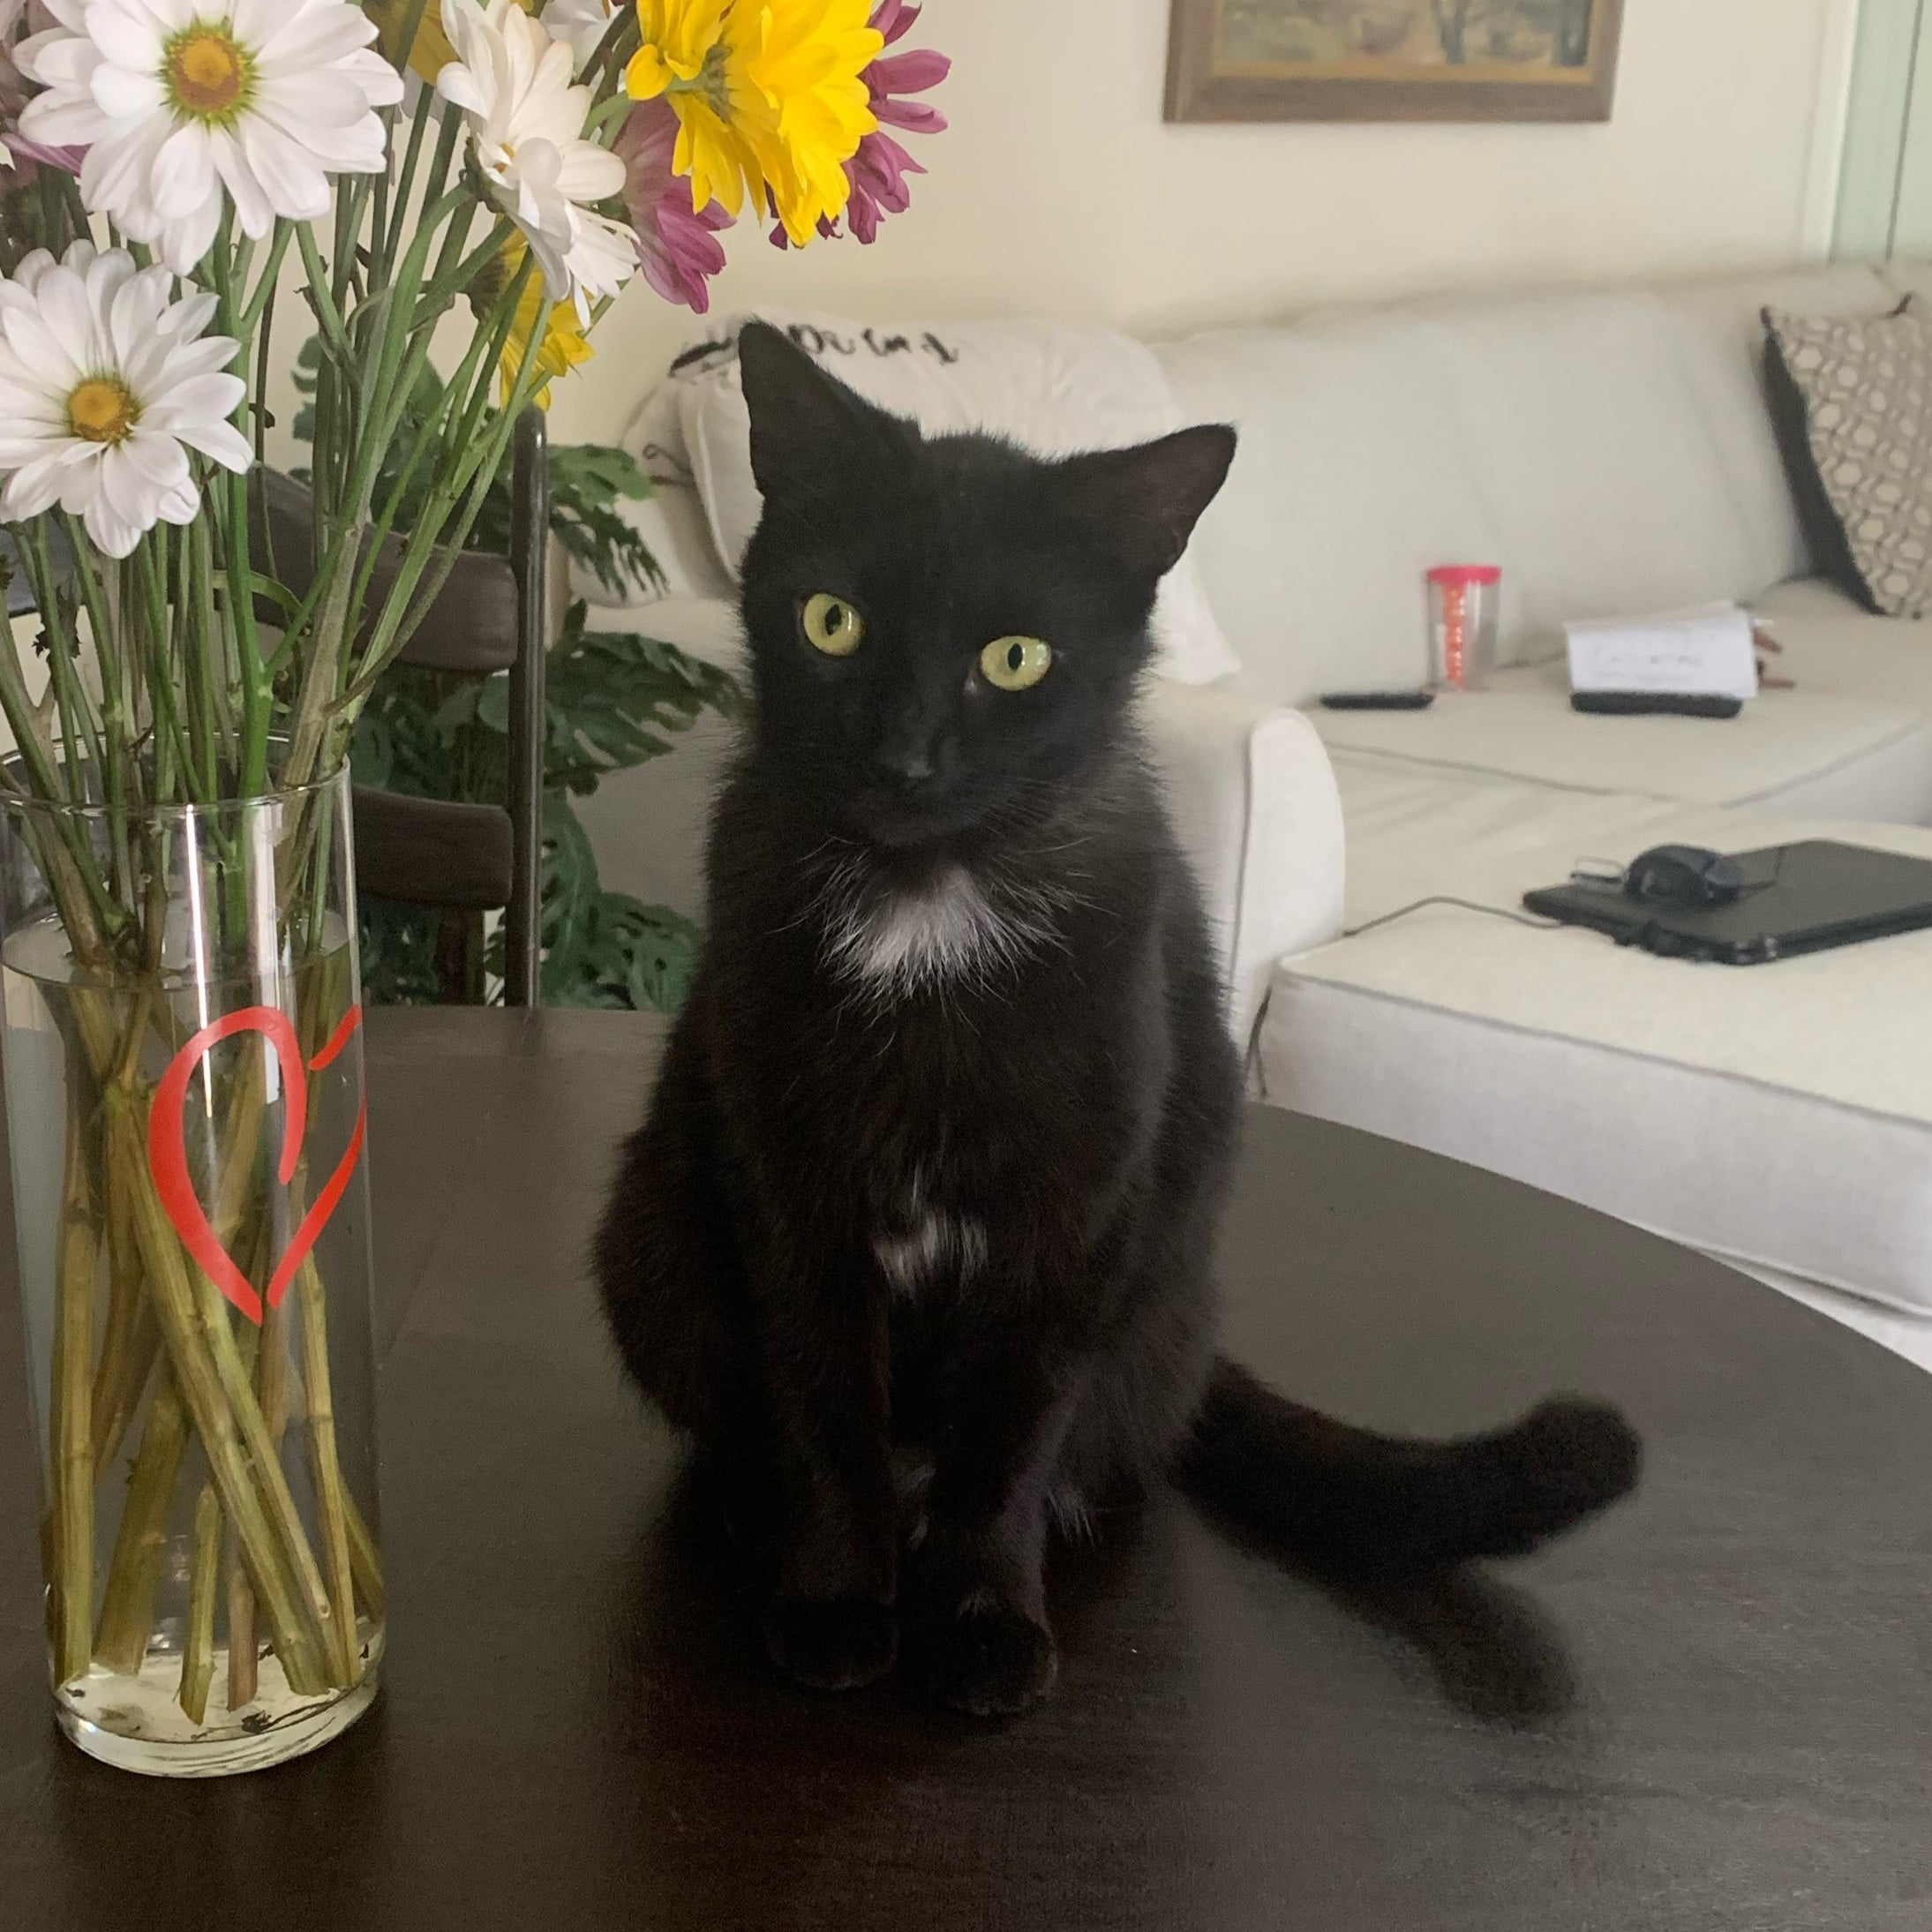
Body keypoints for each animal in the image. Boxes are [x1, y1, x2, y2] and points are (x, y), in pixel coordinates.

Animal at [595, 320, 1638, 1723]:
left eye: (1015, 657)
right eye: (832, 621)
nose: (906, 757)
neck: (928, 900)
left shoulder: (1079, 1209)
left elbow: (1011, 1436)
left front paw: (982, 1617)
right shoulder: (788, 1180)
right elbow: (824, 1398)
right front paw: (835, 1599)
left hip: (1155, 1295)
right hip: (652, 1238)